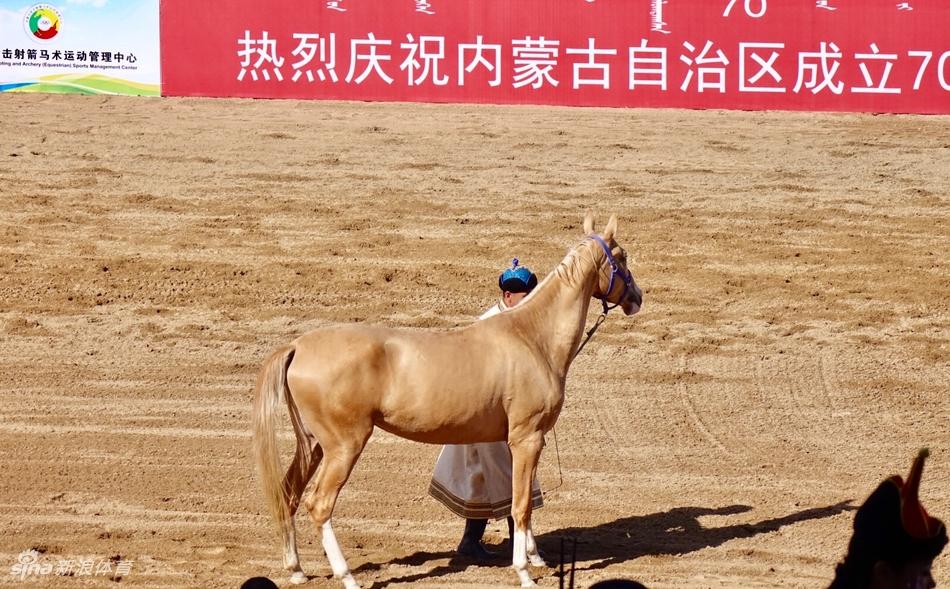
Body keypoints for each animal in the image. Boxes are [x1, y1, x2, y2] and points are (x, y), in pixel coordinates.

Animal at [253, 214, 644, 584]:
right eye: (622, 257)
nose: (638, 298)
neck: (531, 337)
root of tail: (297, 346)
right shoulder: (527, 438)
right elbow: (520, 506)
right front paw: (523, 572)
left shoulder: (521, 441)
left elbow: (522, 500)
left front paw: (535, 557)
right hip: (343, 447)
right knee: (319, 504)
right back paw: (346, 576)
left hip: (313, 445)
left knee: (288, 493)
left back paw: (297, 570)